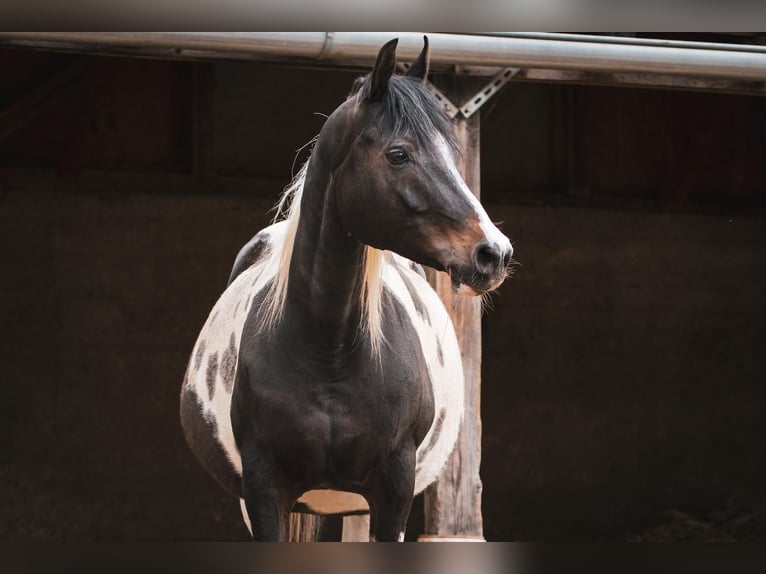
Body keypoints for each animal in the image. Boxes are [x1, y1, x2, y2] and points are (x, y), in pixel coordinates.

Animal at [180, 36, 513, 542]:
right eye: (398, 154)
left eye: (453, 155)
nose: (494, 253)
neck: (328, 351)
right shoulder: (261, 488)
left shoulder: (393, 488)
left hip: (354, 505)